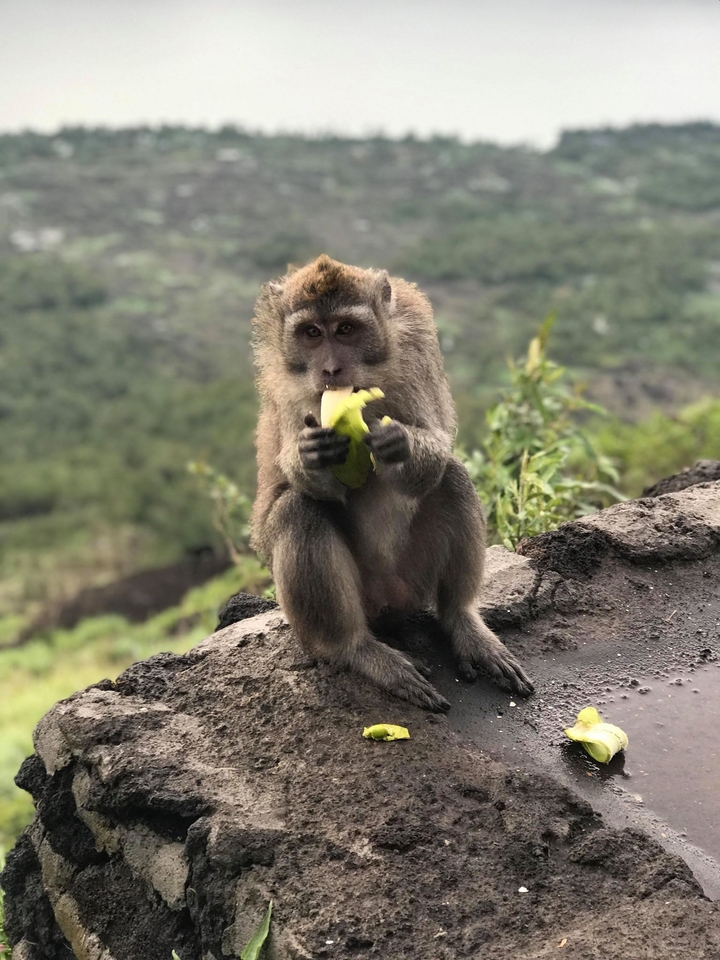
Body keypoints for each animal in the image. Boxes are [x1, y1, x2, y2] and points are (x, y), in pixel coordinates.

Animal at [250, 254, 533, 711]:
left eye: (346, 329)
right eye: (311, 334)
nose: (331, 369)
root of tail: (387, 601)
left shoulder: (416, 341)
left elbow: (436, 440)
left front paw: (399, 443)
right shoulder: (284, 383)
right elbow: (305, 489)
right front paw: (311, 457)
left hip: (412, 578)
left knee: (451, 477)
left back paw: (462, 621)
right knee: (298, 509)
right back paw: (356, 650)